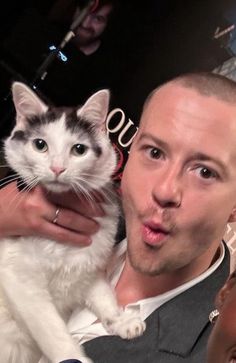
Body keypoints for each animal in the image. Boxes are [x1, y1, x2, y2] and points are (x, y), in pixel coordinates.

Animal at [0, 82, 146, 363]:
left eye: (79, 149)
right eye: (40, 145)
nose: (57, 168)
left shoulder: (87, 269)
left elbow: (104, 298)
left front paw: (121, 321)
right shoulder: (22, 282)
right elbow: (53, 332)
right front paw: (71, 355)